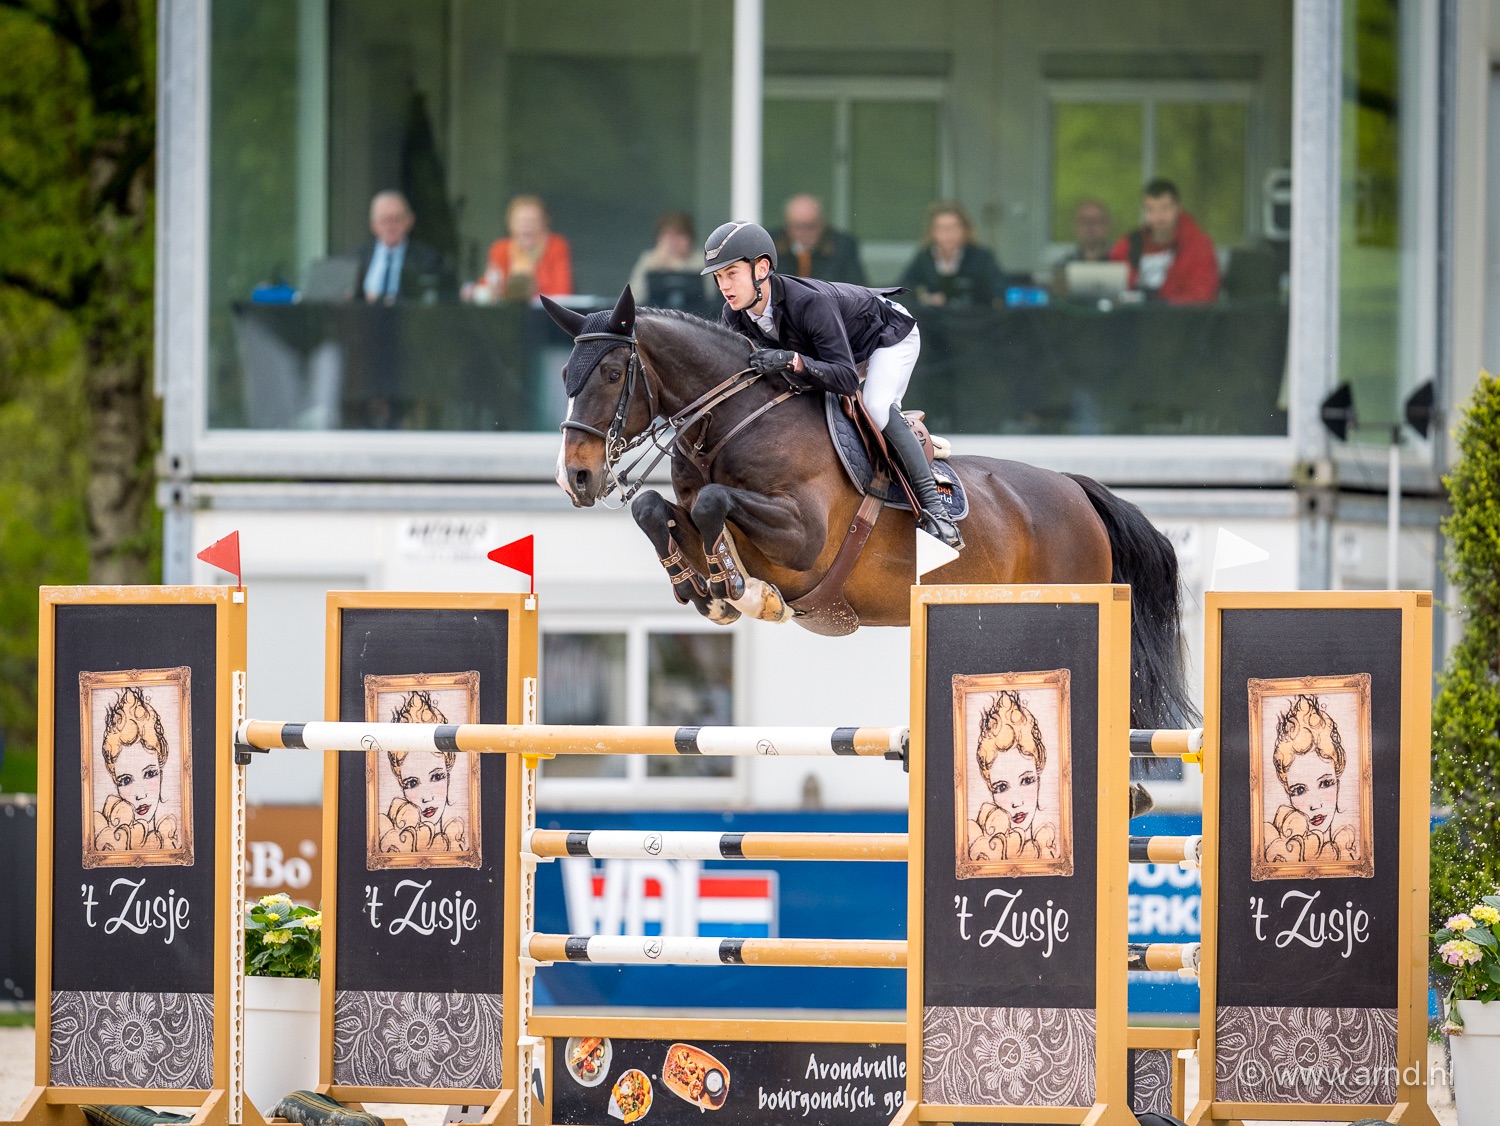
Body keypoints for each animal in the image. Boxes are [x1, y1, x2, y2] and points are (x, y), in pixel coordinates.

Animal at [544, 286, 1196, 732]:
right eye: (566, 373)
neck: (731, 422)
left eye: (611, 372)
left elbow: (714, 502)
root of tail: (1076, 490)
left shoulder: (802, 538)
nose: (575, 477)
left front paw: (742, 591)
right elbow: (656, 508)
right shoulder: (696, 511)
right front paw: (701, 588)